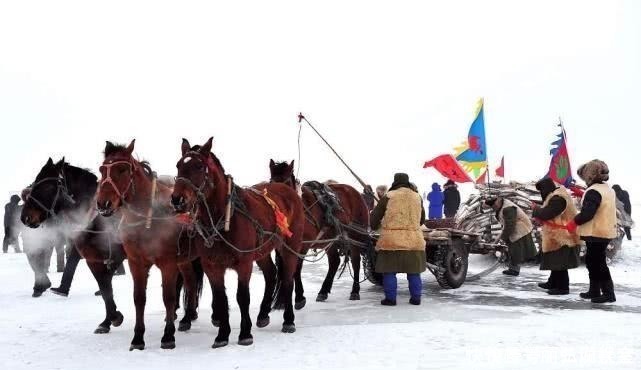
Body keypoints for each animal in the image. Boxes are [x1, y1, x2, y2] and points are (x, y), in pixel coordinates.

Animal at [20, 157, 127, 332]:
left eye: (47, 186)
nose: (25, 217)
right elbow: (105, 287)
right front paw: (108, 320)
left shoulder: (96, 257)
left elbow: (104, 287)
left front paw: (112, 317)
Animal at [95, 140, 202, 352]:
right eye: (102, 170)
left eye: (121, 169)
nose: (103, 204)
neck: (149, 219)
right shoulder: (136, 264)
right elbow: (139, 298)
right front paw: (138, 338)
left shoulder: (168, 264)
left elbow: (168, 297)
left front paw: (168, 336)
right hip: (184, 260)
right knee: (191, 281)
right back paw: (187, 318)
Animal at [170, 137, 304, 348]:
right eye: (178, 165)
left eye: (199, 166)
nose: (177, 200)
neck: (225, 217)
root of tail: (288, 191)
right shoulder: (212, 266)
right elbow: (221, 299)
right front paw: (222, 335)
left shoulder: (244, 263)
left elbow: (242, 297)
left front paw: (245, 333)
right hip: (262, 251)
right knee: (271, 274)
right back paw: (263, 314)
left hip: (290, 247)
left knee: (288, 280)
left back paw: (288, 320)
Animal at [268, 160, 370, 304]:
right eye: (271, 182)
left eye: (285, 183)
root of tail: (355, 192)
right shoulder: (282, 247)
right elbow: (284, 269)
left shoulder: (303, 245)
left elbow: (296, 268)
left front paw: (299, 298)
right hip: (331, 240)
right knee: (334, 262)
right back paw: (323, 291)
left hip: (355, 236)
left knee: (355, 261)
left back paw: (355, 290)